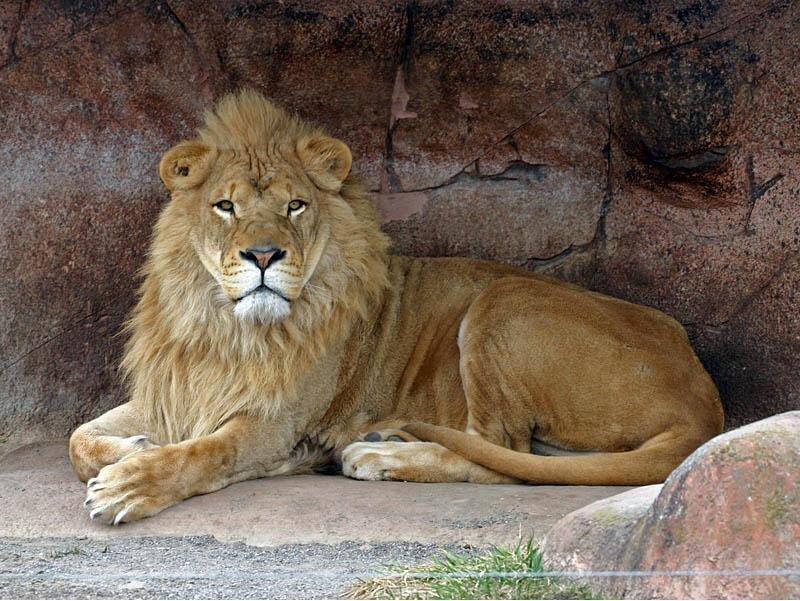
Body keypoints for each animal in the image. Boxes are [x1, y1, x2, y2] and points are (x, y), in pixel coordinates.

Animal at [69, 89, 724, 525]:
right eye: (225, 206)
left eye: (295, 206)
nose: (263, 255)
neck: (226, 327)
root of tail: (703, 400)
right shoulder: (178, 391)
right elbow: (82, 437)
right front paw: (134, 449)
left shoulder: (276, 419)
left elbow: (206, 452)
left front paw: (130, 485)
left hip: (502, 299)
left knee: (505, 455)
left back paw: (377, 455)